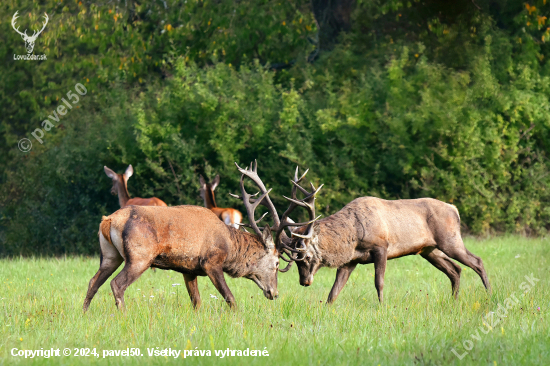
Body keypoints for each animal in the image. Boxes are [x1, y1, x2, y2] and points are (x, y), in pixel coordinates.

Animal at [83, 161, 306, 312]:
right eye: (276, 263)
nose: (274, 293)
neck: (230, 247)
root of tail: (108, 221)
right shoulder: (211, 261)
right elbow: (230, 299)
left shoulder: (188, 269)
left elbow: (196, 302)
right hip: (139, 257)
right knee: (117, 284)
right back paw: (123, 314)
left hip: (110, 256)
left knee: (93, 281)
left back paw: (84, 313)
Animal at [278, 170, 494, 304]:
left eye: (306, 256)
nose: (304, 281)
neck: (354, 236)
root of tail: (455, 209)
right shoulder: (350, 260)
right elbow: (334, 291)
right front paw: (326, 309)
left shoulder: (381, 246)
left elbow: (378, 282)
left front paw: (382, 307)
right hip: (429, 250)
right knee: (455, 269)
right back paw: (454, 300)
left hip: (450, 240)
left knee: (477, 261)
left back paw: (490, 295)